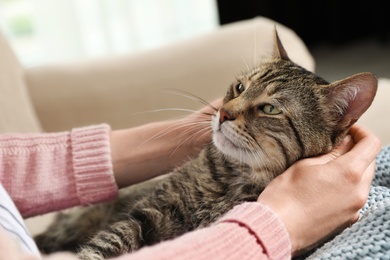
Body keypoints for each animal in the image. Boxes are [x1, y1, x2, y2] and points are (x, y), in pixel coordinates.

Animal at [34, 30, 378, 258]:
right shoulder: (147, 212)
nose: (224, 113)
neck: (233, 179)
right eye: (239, 87)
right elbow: (103, 245)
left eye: (270, 109)